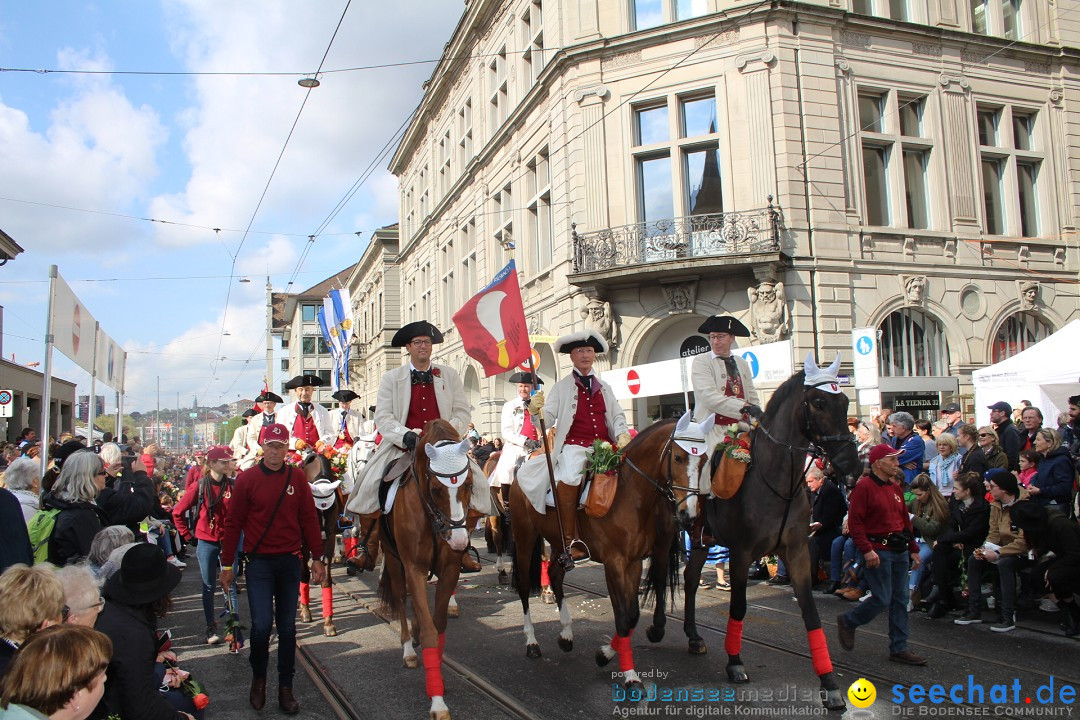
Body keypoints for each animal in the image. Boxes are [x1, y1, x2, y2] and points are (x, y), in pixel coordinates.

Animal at [378, 418, 475, 720]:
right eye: (436, 490)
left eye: (469, 484)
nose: (459, 541)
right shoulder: (414, 568)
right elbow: (431, 631)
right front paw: (437, 702)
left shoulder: (450, 569)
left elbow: (438, 625)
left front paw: (440, 683)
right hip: (393, 559)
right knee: (400, 597)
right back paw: (409, 649)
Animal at [509, 410, 712, 686]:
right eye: (679, 457)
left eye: (704, 460)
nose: (688, 515)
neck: (630, 495)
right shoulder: (614, 564)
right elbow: (623, 617)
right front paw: (630, 676)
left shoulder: (634, 563)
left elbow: (632, 615)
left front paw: (606, 654)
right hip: (525, 538)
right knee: (522, 586)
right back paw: (531, 642)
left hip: (560, 544)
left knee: (555, 574)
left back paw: (566, 635)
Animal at [686, 354, 864, 708]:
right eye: (819, 402)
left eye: (844, 402)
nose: (852, 467)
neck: (776, 479)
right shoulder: (742, 553)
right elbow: (739, 606)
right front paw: (735, 663)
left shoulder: (796, 552)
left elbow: (811, 614)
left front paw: (829, 683)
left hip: (700, 541)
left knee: (688, 578)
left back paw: (694, 637)